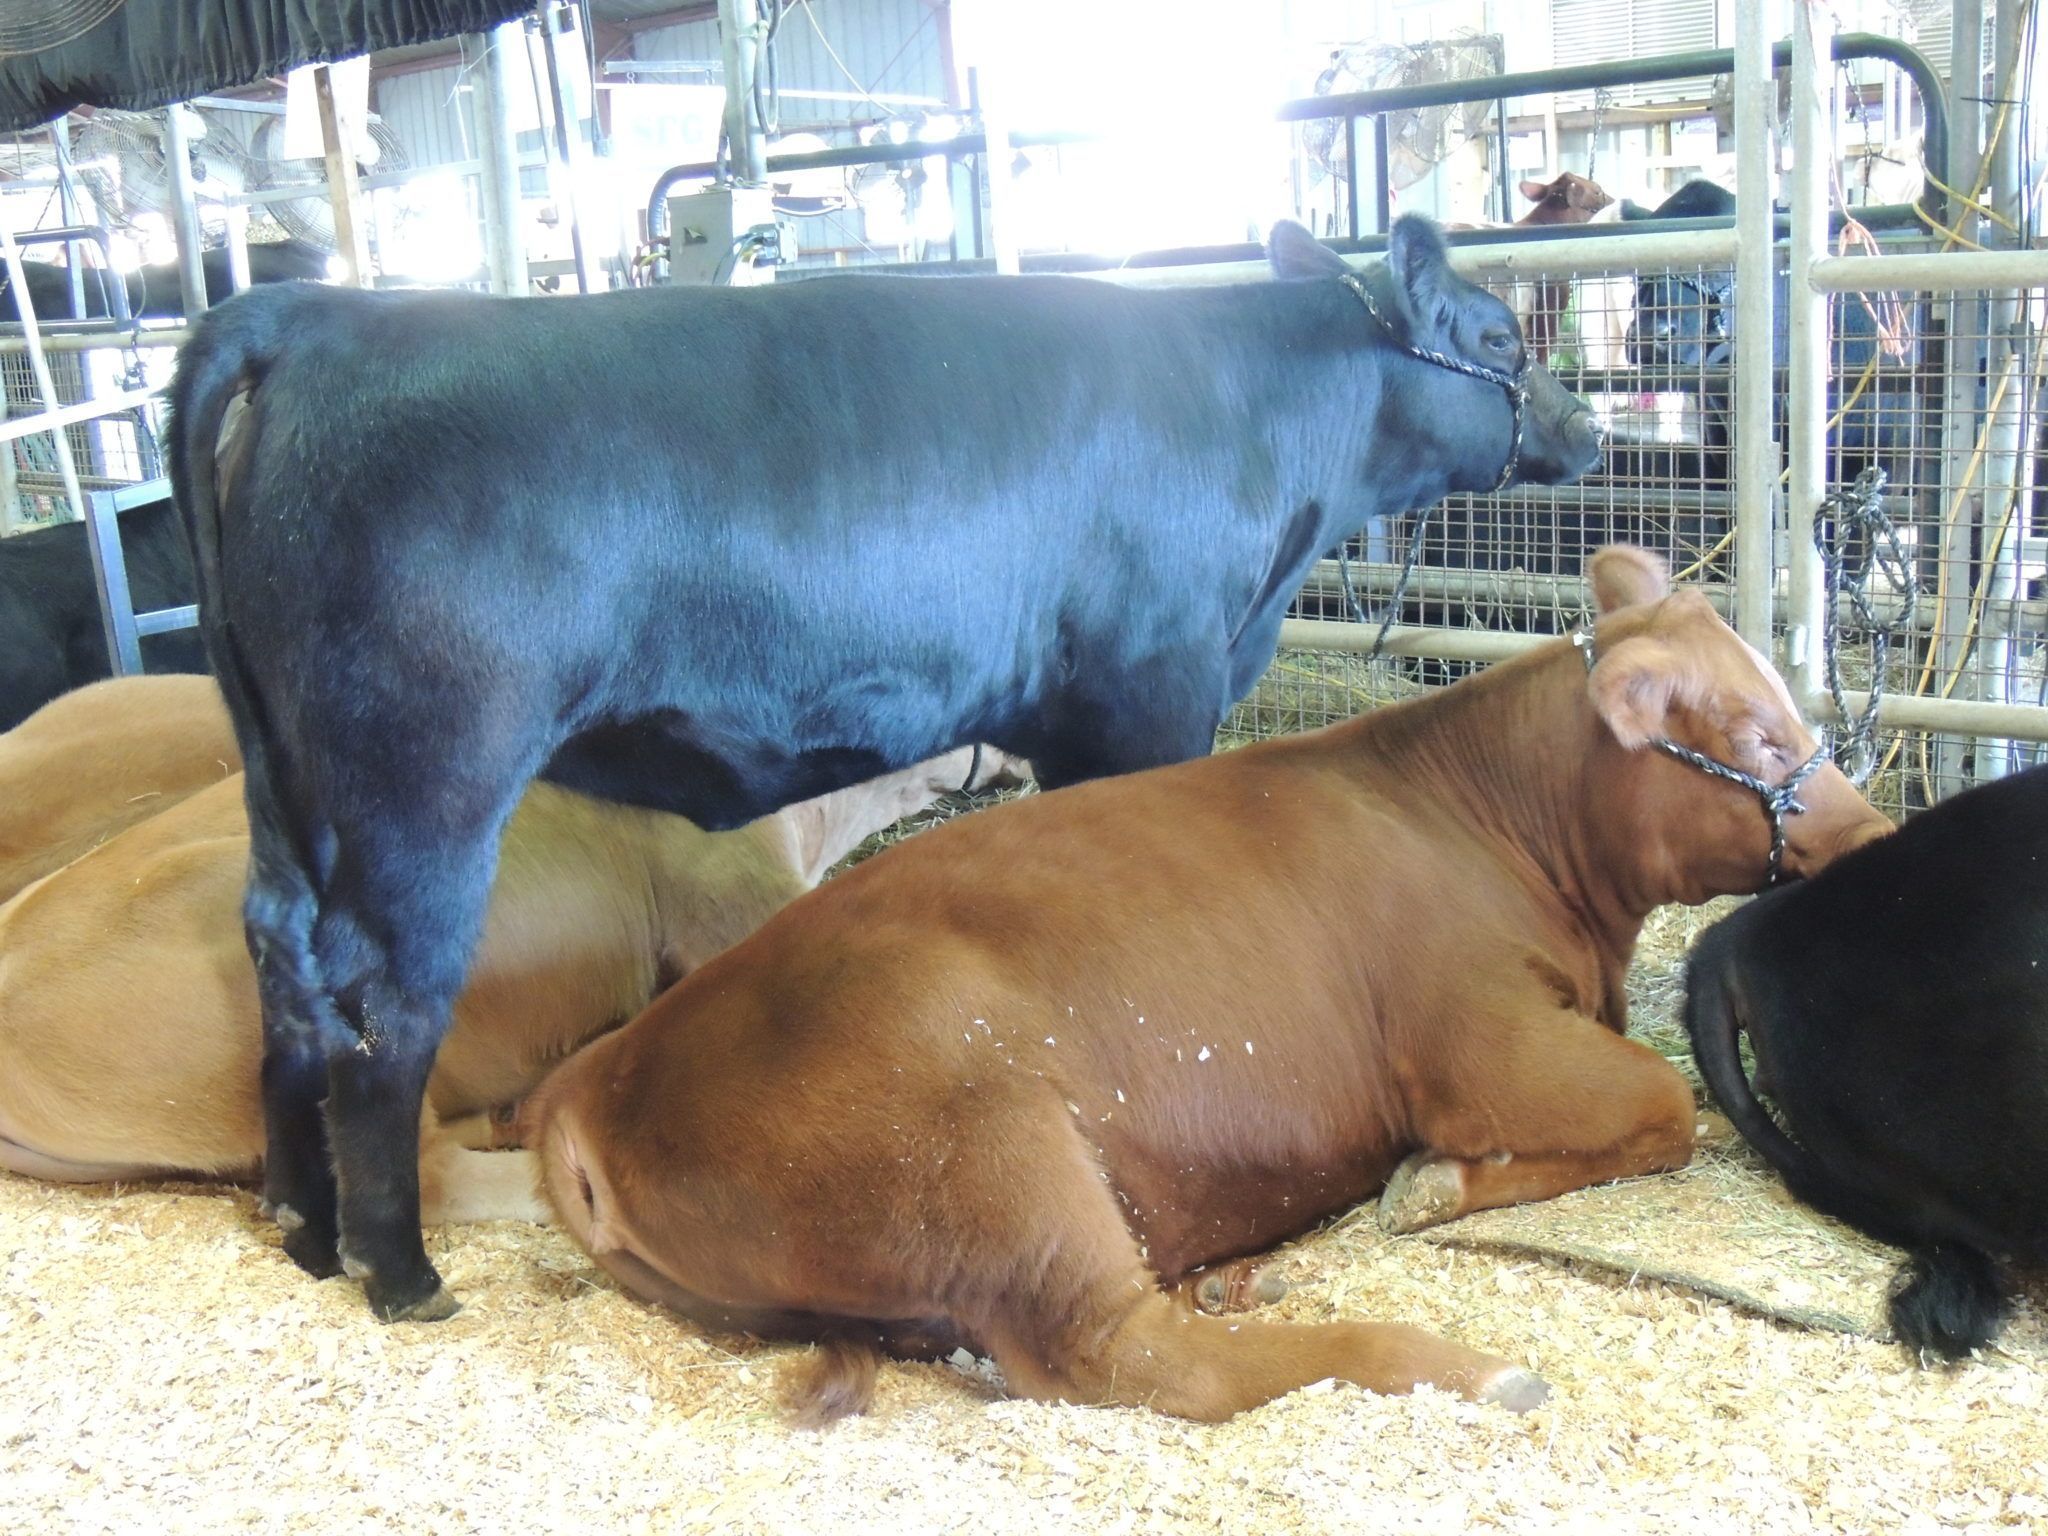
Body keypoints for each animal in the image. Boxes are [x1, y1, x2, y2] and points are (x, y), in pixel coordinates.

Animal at [524, 548, 1884, 1425]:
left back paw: (1243, 1273)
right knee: (1131, 1357)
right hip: (987, 1148)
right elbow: (1663, 1106)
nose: (1871, 834)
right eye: (1756, 738)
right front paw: (1433, 1185)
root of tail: (595, 1083)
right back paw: (1446, 1363)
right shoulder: (1481, 1040)